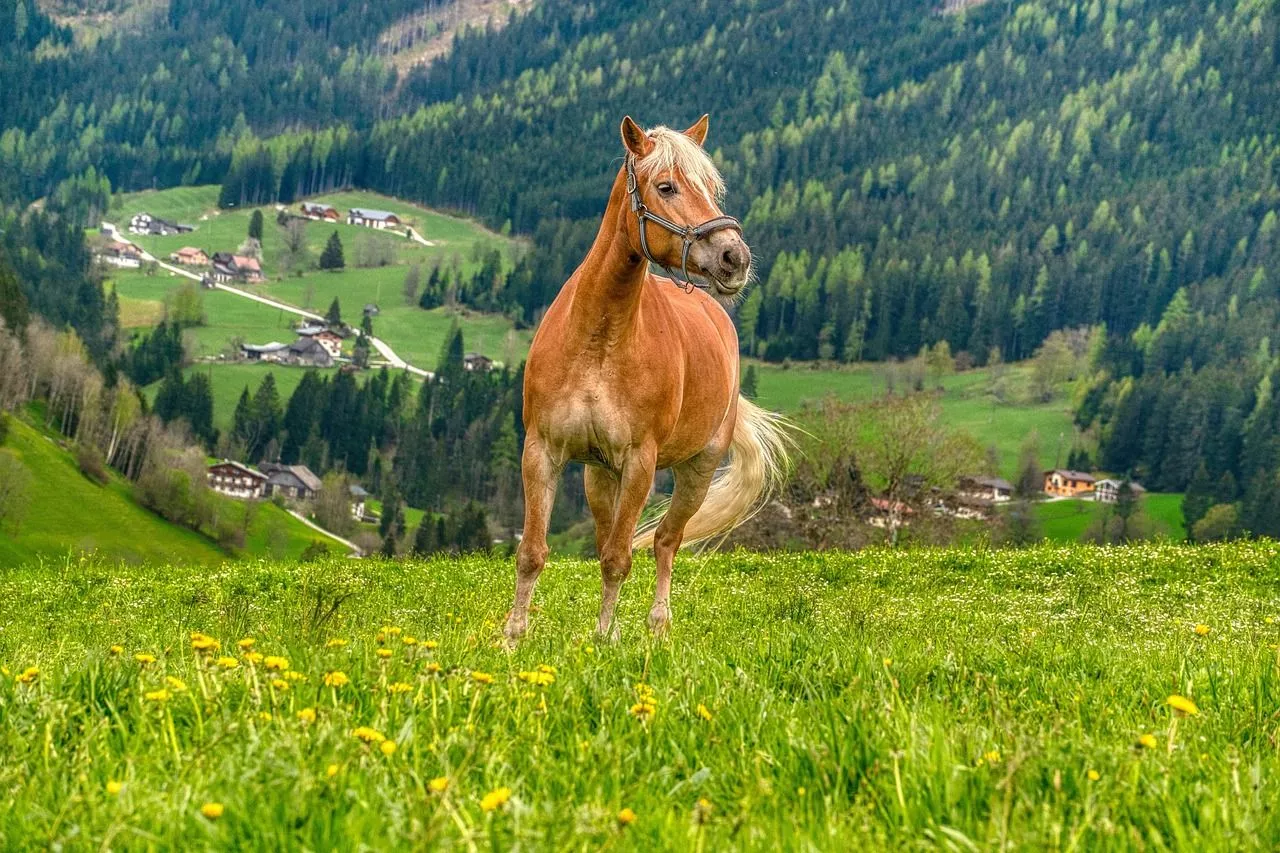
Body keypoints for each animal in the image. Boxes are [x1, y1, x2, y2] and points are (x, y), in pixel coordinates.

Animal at [504, 115, 791, 642]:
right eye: (666, 186)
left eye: (711, 189)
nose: (734, 258)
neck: (598, 342)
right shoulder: (542, 452)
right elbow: (533, 552)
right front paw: (513, 637)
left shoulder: (640, 462)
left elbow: (619, 559)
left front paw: (603, 637)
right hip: (599, 474)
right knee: (610, 535)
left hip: (697, 470)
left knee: (665, 541)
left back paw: (658, 625)